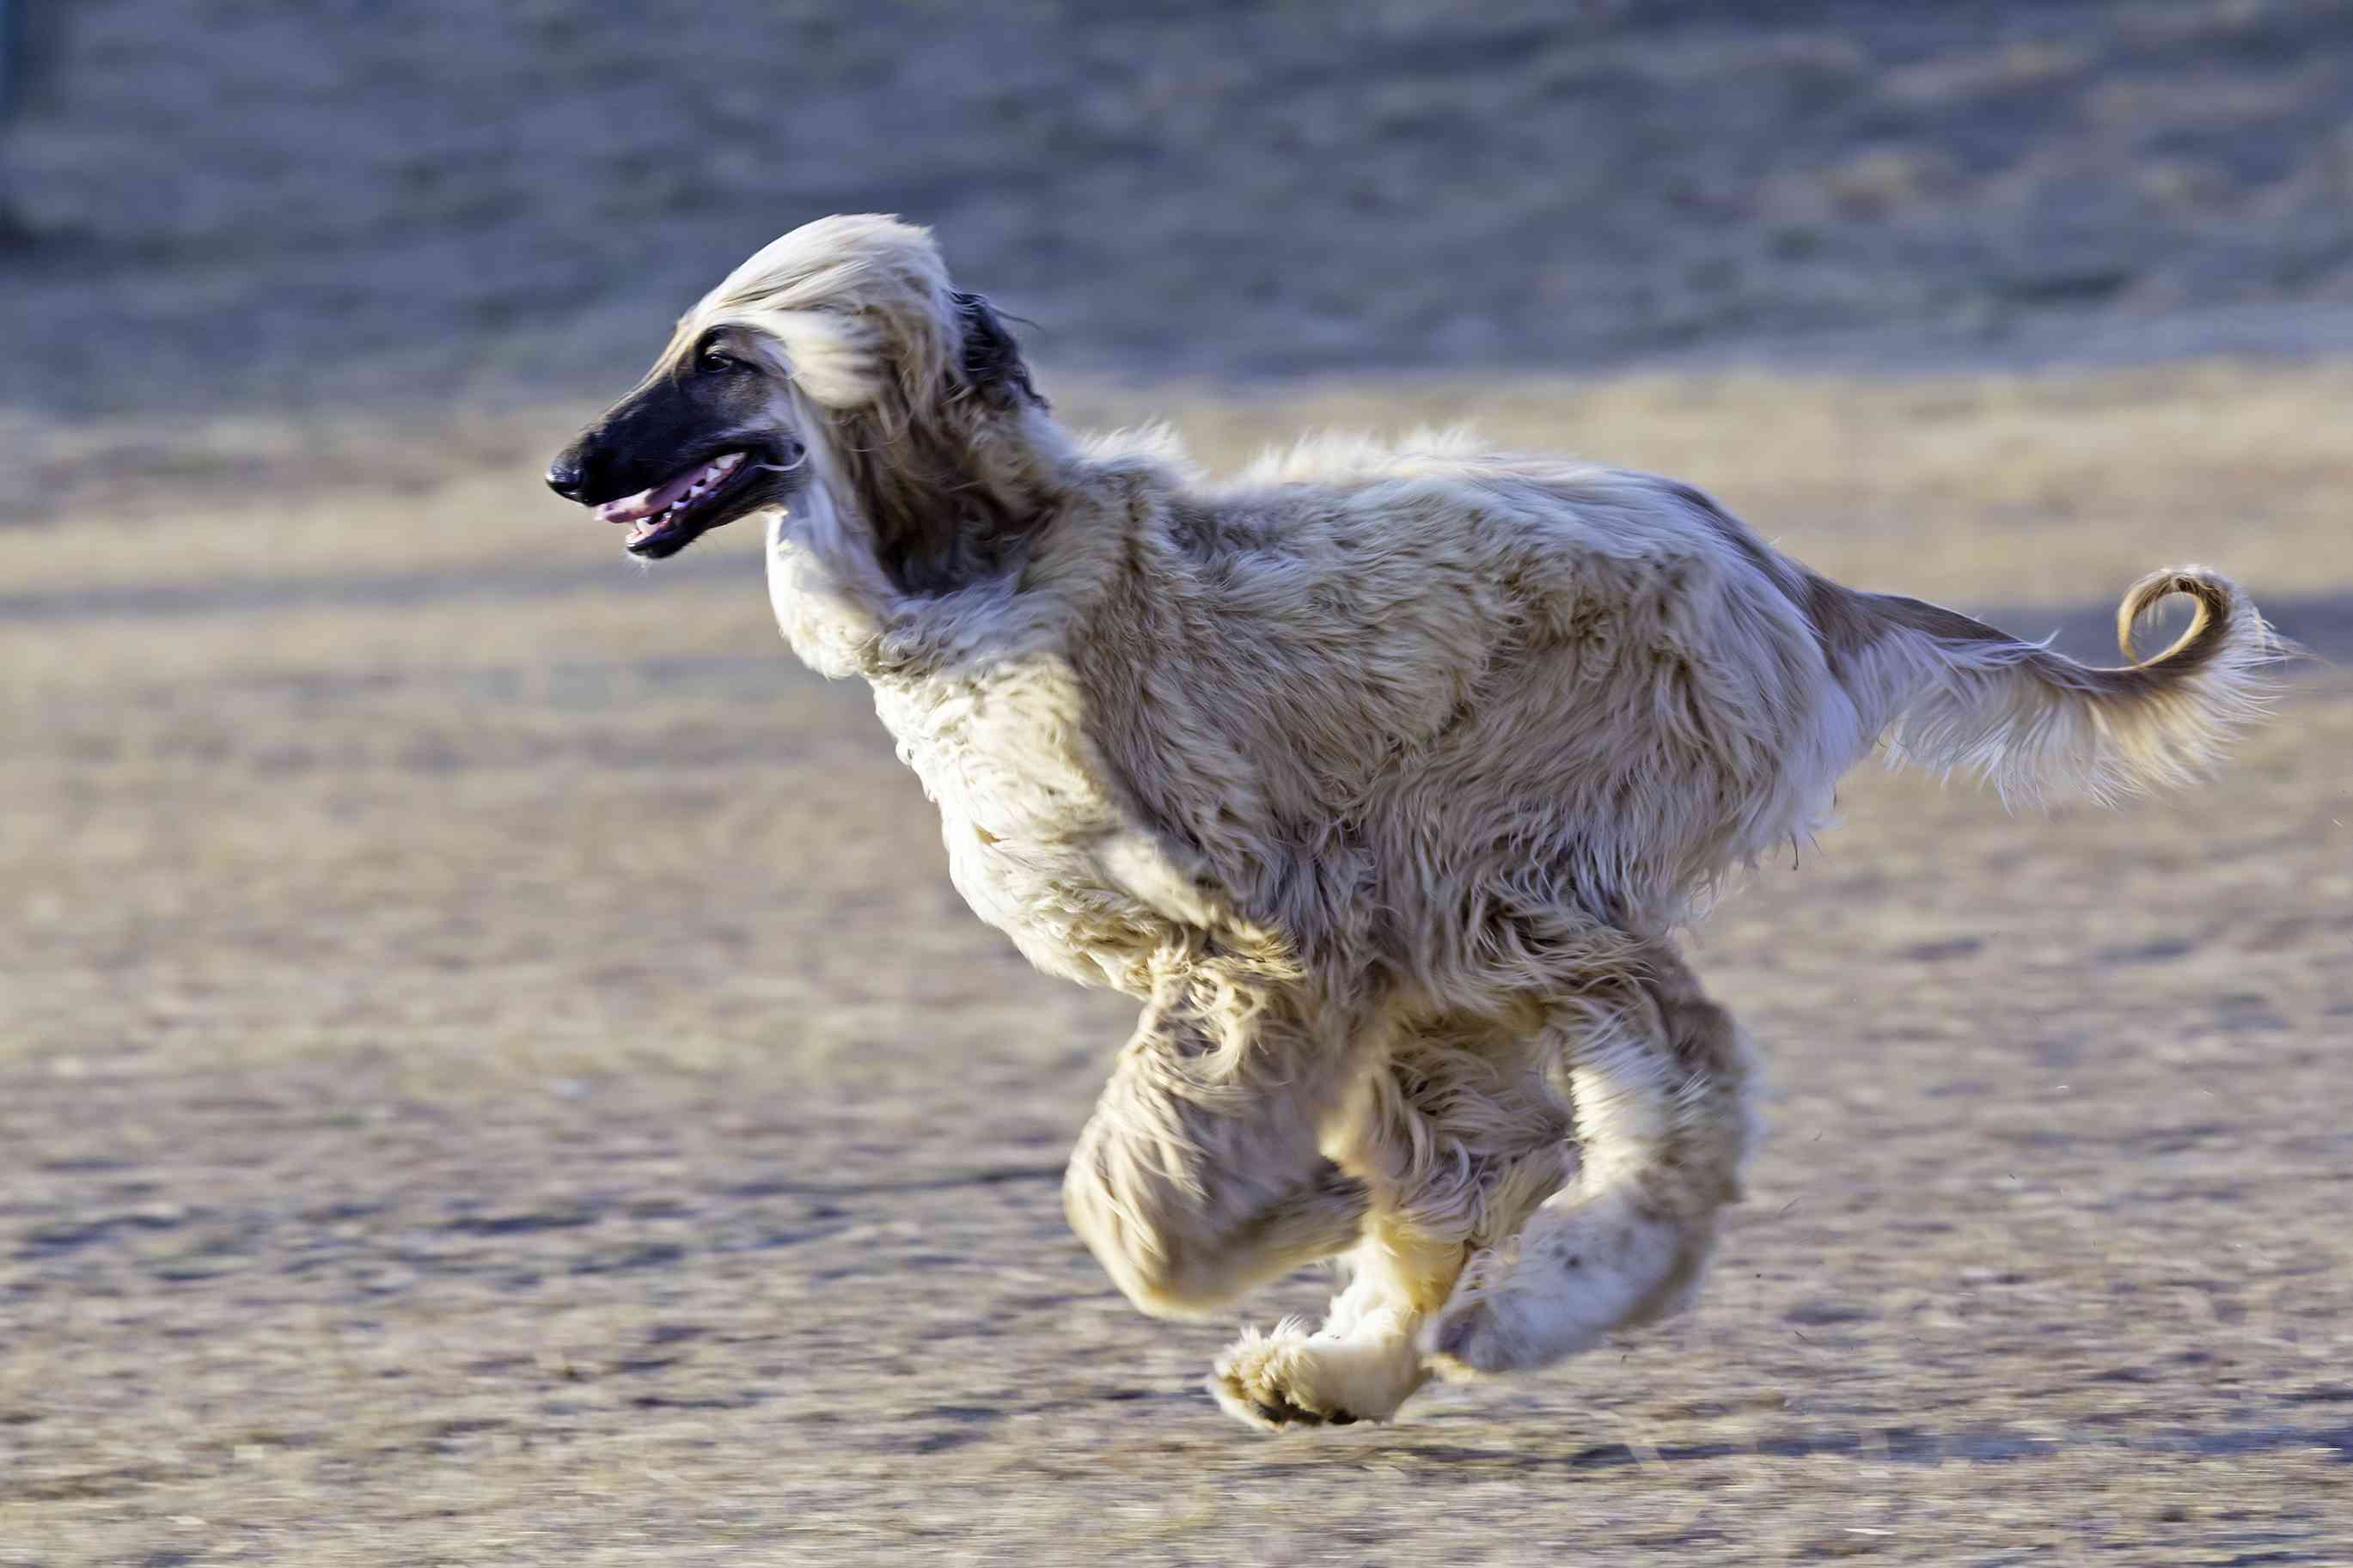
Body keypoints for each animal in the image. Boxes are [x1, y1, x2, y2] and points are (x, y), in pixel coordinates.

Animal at [550, 215, 2277, 1429]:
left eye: (722, 357)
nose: (568, 468)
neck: (986, 572)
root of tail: (1773, 567)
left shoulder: (1268, 930)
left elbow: (1137, 1196)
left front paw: (1275, 1215)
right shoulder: (1280, 958)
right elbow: (1393, 1161)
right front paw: (1316, 1249)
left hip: (1497, 864)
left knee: (1677, 1082)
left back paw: (1537, 1308)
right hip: (1445, 919)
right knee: (1498, 1150)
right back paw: (1349, 1367)